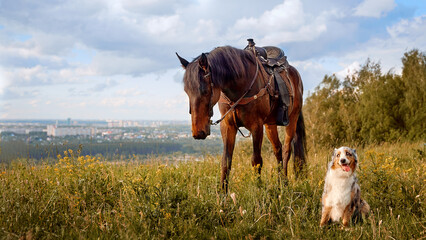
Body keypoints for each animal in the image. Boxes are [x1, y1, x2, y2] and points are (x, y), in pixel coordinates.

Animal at [176, 46, 306, 190]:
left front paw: (258, 188)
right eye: (187, 91)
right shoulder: (228, 127)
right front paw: (222, 194)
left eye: (204, 91)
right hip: (270, 124)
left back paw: (285, 183)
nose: (198, 132)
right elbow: (226, 161)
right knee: (278, 148)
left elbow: (256, 160)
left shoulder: (256, 127)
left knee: (287, 150)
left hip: (292, 119)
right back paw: (280, 184)